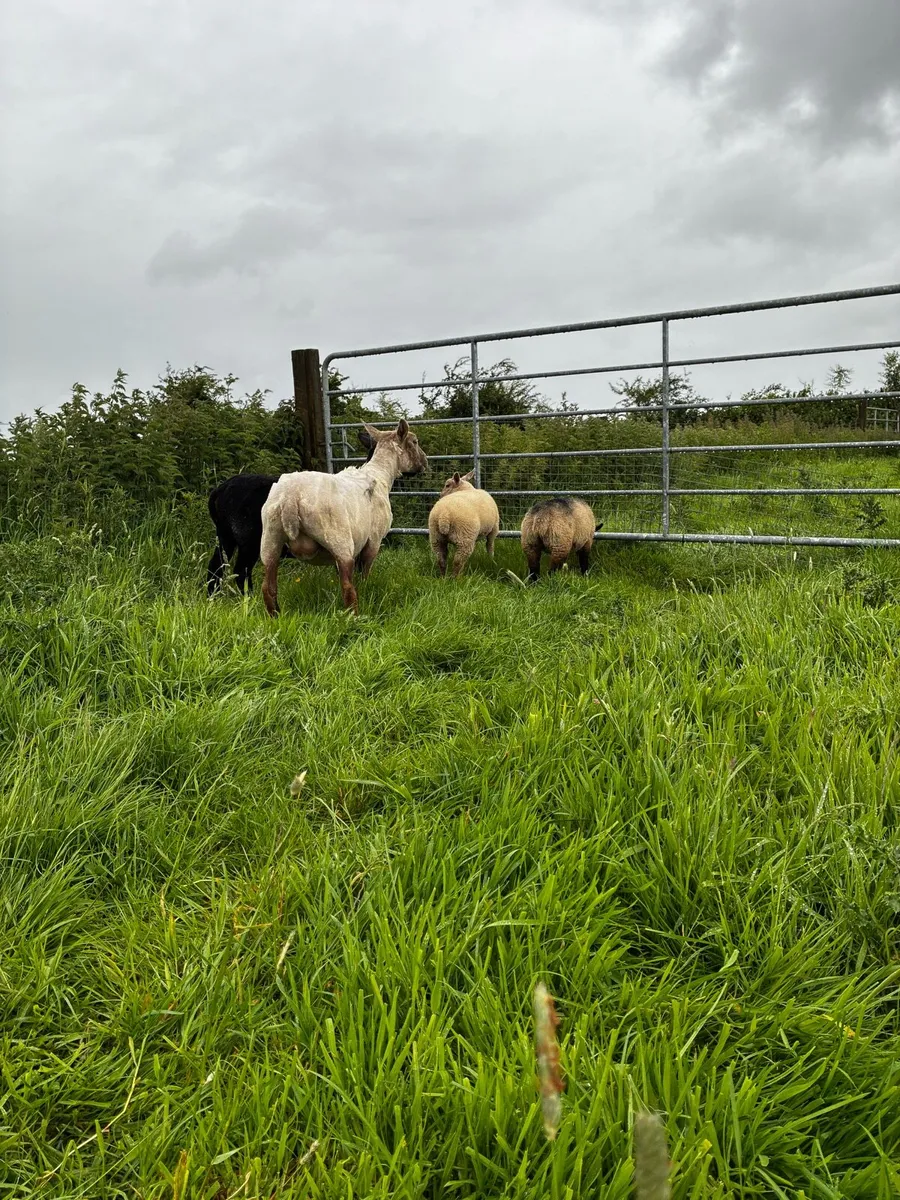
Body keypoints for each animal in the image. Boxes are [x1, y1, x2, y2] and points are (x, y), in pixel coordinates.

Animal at [206, 431, 376, 596]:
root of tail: (220, 490)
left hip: (225, 534)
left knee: (216, 566)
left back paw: (213, 597)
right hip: (248, 538)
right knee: (241, 571)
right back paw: (250, 598)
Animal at [260, 419, 428, 615]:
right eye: (415, 441)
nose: (425, 462)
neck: (381, 474)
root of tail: (290, 498)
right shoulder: (374, 539)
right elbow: (364, 573)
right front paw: (367, 589)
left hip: (270, 537)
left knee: (268, 587)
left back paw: (276, 616)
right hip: (339, 540)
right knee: (347, 588)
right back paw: (353, 617)